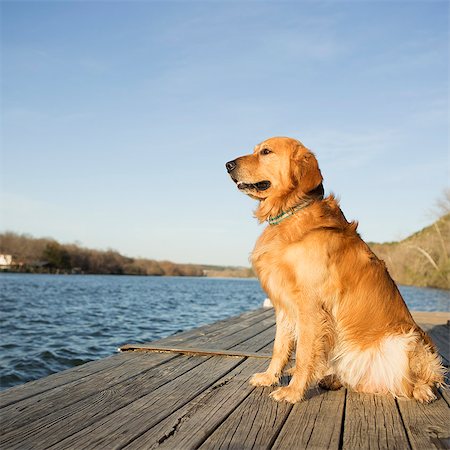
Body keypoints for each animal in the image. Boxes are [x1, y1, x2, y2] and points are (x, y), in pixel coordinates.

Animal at [227, 135, 444, 402]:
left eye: (266, 152)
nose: (227, 165)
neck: (292, 212)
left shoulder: (310, 305)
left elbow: (303, 354)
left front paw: (293, 391)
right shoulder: (284, 305)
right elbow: (279, 347)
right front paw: (269, 378)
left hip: (407, 340)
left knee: (424, 376)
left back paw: (423, 390)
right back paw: (332, 379)